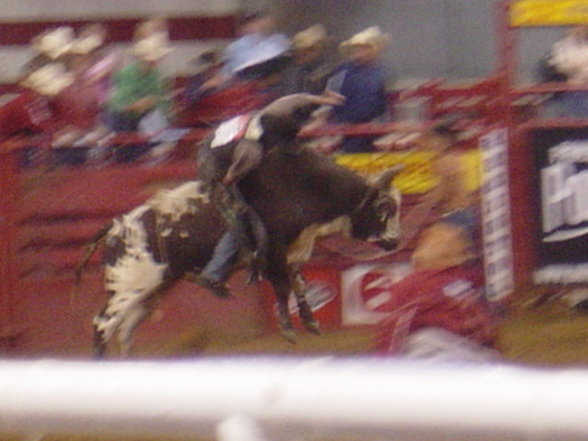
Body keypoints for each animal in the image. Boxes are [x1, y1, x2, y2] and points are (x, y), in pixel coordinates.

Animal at [78, 92, 402, 354]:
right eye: (384, 206)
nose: (395, 241)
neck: (307, 186)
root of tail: (117, 227)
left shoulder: (293, 252)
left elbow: (298, 283)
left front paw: (310, 321)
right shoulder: (272, 251)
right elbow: (282, 286)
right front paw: (288, 328)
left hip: (153, 289)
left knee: (126, 330)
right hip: (127, 286)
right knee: (101, 325)